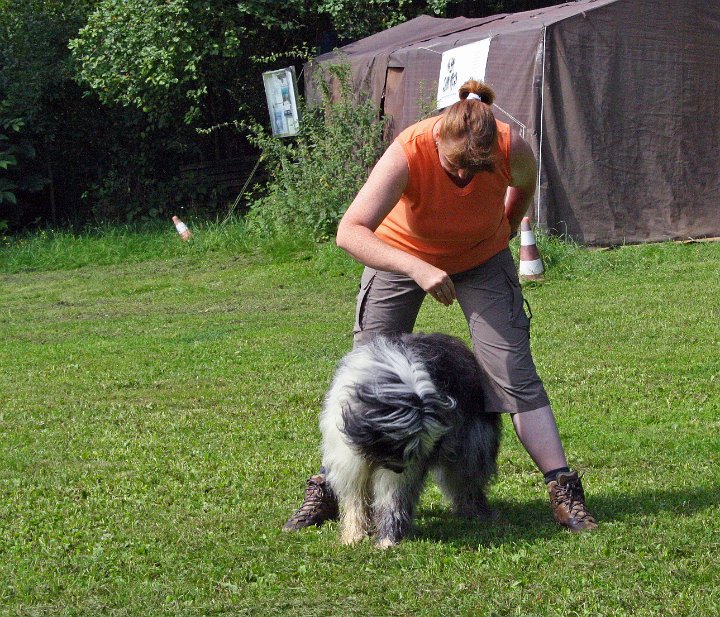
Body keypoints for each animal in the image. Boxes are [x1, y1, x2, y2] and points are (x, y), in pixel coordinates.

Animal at [320, 332, 501, 547]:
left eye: (413, 448)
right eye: (394, 444)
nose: (399, 469)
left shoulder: (403, 470)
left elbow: (392, 498)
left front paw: (387, 540)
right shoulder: (350, 462)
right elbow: (355, 500)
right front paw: (353, 536)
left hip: (471, 446)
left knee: (466, 480)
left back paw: (475, 512)